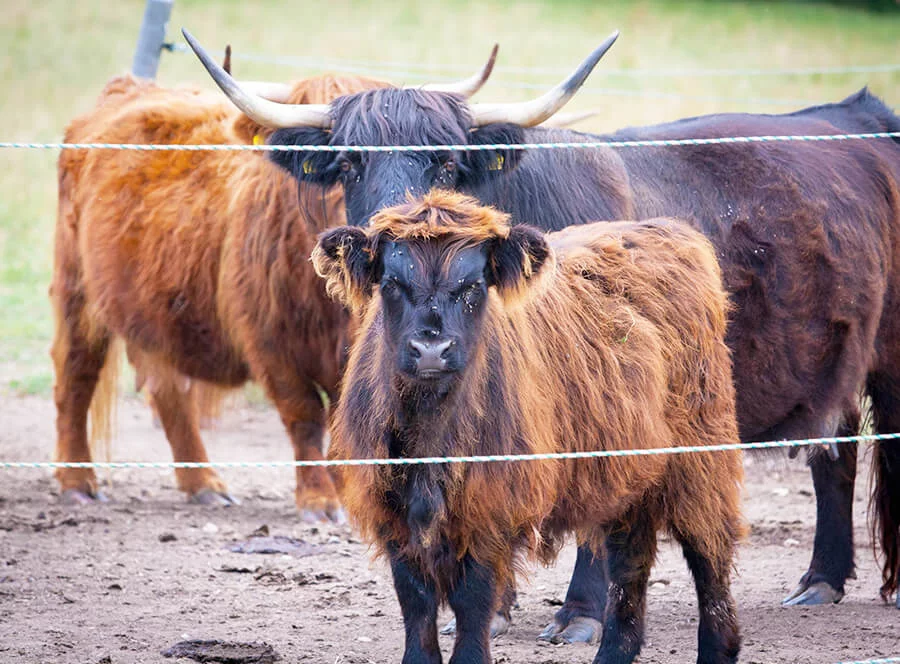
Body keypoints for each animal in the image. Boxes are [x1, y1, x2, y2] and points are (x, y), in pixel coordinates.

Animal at [316, 189, 744, 664]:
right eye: (391, 283)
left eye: (474, 286)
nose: (431, 349)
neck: (430, 433)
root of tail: (668, 231)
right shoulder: (392, 509)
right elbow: (416, 601)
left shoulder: (490, 505)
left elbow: (472, 598)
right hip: (630, 473)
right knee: (629, 561)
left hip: (700, 458)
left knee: (708, 552)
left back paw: (717, 648)